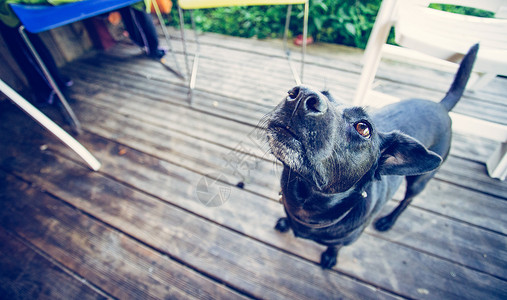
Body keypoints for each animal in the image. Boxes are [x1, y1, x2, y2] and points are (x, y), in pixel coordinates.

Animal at [264, 43, 478, 268]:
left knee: (407, 200)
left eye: (363, 127)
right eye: (323, 93)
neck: (304, 202)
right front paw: (286, 222)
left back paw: (388, 221)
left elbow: (336, 246)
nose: (301, 94)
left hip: (419, 181)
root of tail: (440, 106)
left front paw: (330, 257)